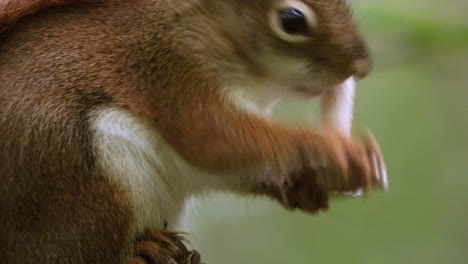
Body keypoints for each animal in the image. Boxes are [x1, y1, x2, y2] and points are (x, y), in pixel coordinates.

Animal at [0, 0, 388, 264]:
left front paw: (306, 189)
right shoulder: (175, 78)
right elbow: (217, 143)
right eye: (292, 19)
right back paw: (141, 251)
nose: (361, 67)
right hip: (81, 180)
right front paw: (341, 152)